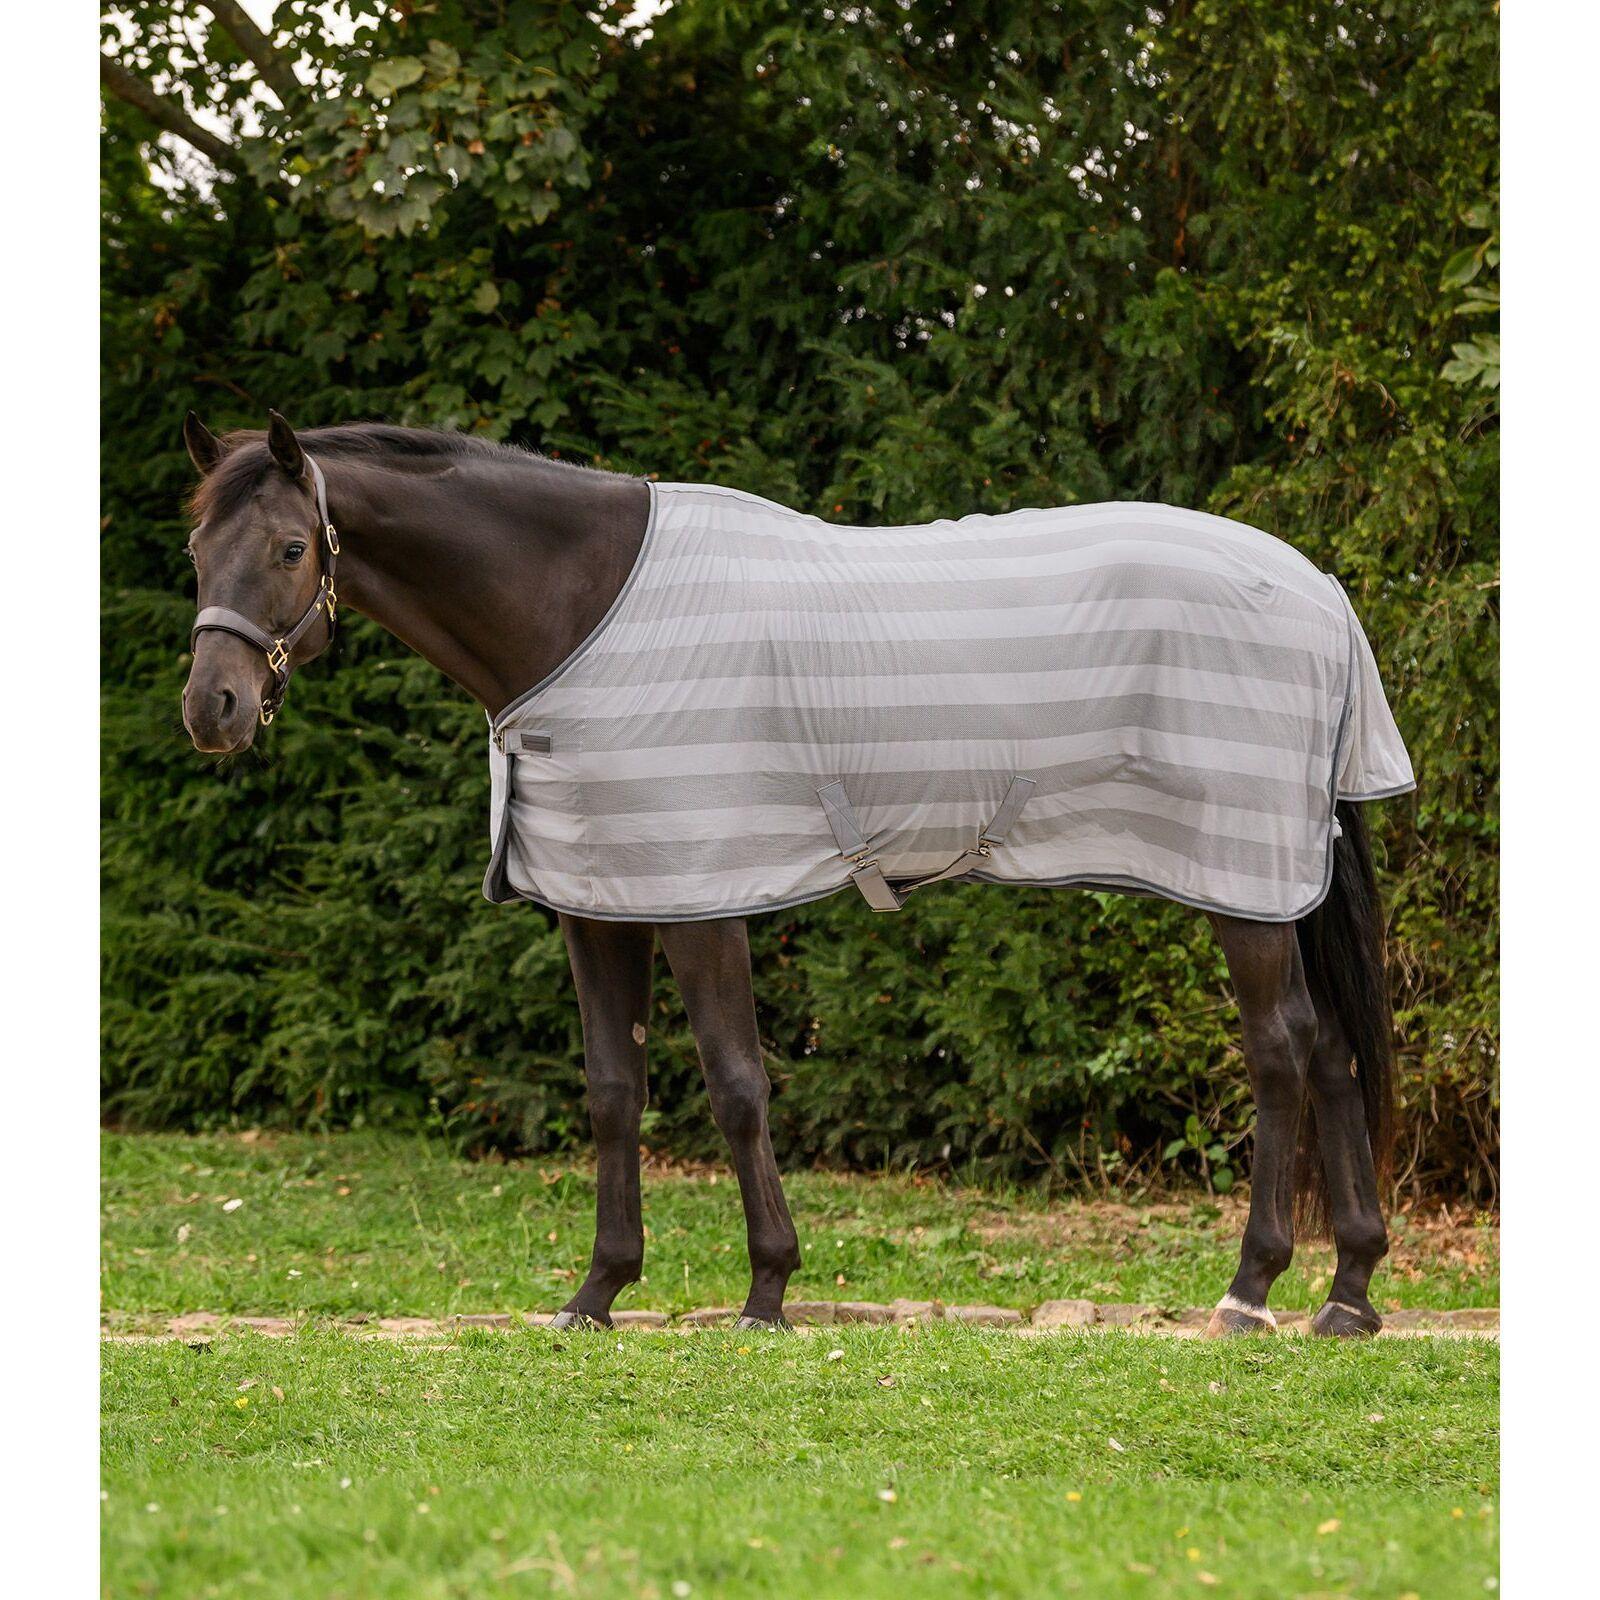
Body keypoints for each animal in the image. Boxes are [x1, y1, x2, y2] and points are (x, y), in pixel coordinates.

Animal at [179, 410, 1407, 1339]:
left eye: (290, 550)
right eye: (196, 552)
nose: (213, 710)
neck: (580, 608)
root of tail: (1318, 587)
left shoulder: (698, 893)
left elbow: (735, 1083)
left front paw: (767, 1287)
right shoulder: (601, 903)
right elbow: (614, 1091)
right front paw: (599, 1290)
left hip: (1238, 879)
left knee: (1280, 1051)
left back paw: (1251, 1289)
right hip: (1274, 882)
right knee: (1333, 1051)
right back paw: (1348, 1293)